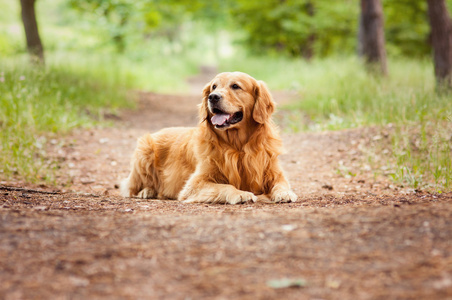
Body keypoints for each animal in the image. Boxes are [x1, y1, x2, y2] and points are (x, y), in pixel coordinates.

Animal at [121, 72, 296, 205]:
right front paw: (241, 193)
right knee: (131, 187)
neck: (237, 147)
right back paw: (146, 191)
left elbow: (281, 184)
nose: (213, 97)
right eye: (214, 86)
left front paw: (285, 193)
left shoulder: (274, 172)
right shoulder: (194, 183)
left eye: (235, 86)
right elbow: (224, 186)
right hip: (144, 151)